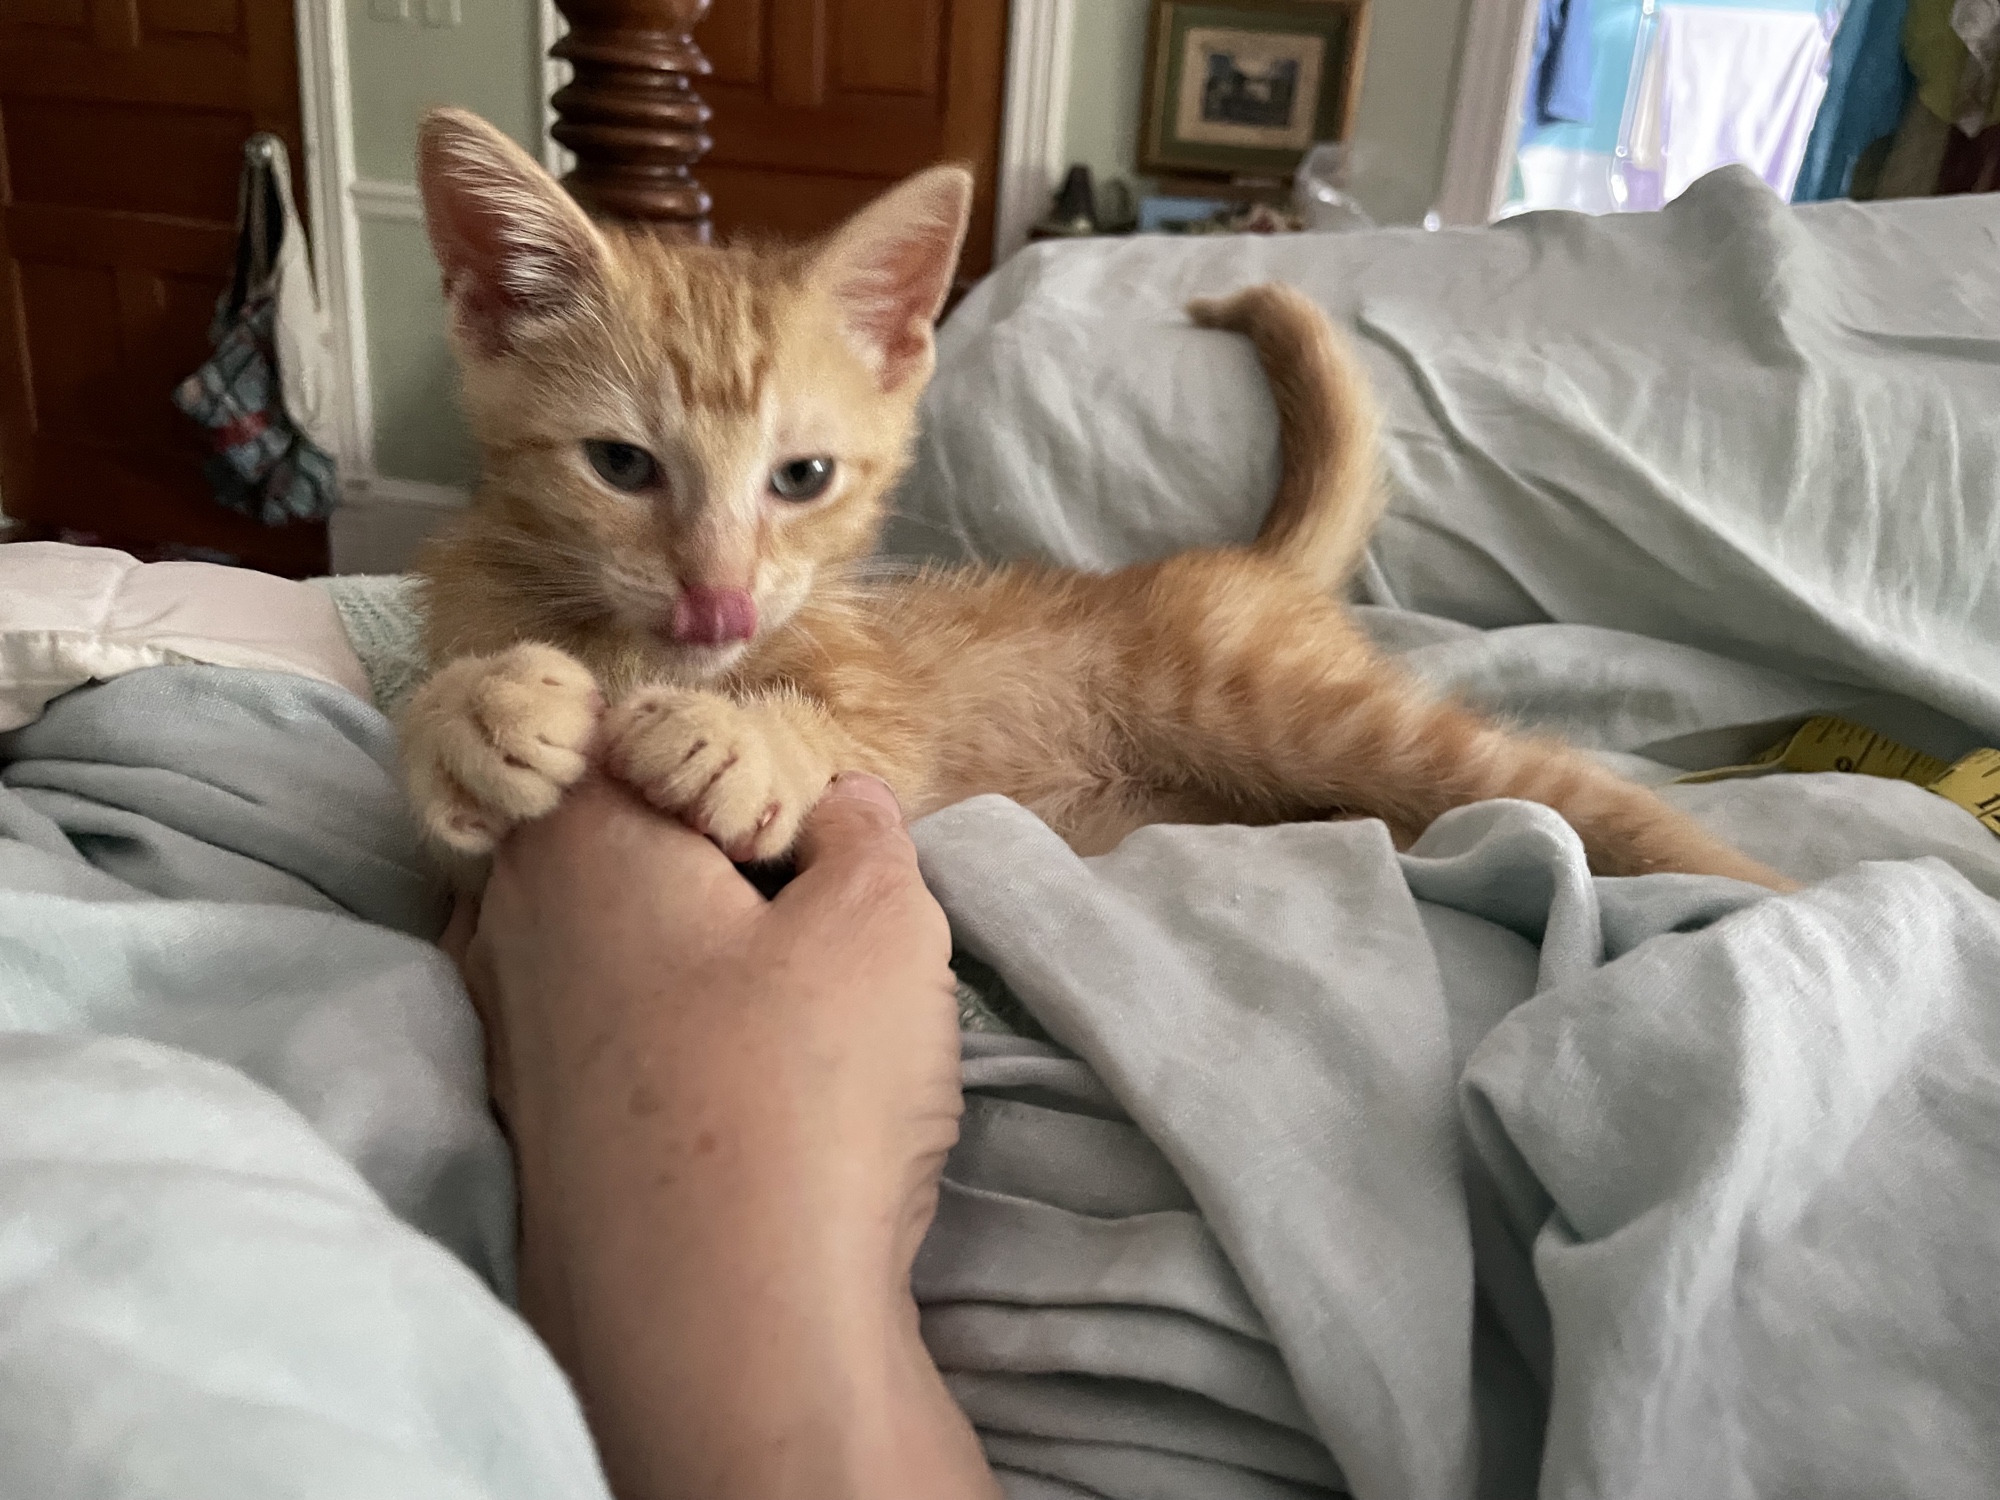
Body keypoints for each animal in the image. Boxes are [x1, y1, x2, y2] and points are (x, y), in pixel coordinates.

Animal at [402, 107, 1790, 891]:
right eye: (621, 466)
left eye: (800, 479)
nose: (717, 603)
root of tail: (1246, 567)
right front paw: (480, 711)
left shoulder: (892, 723)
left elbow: (857, 735)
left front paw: (742, 737)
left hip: (1296, 707)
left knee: (1559, 786)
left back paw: (1756, 892)